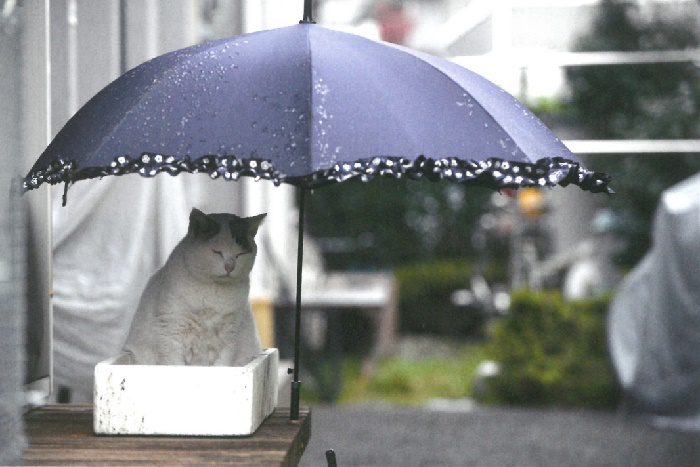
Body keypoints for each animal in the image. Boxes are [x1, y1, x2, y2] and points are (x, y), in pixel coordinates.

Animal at [121, 207, 266, 366]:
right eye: (217, 252)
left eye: (240, 254)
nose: (230, 266)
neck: (214, 292)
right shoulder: (172, 331)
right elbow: (174, 363)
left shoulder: (229, 335)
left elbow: (222, 364)